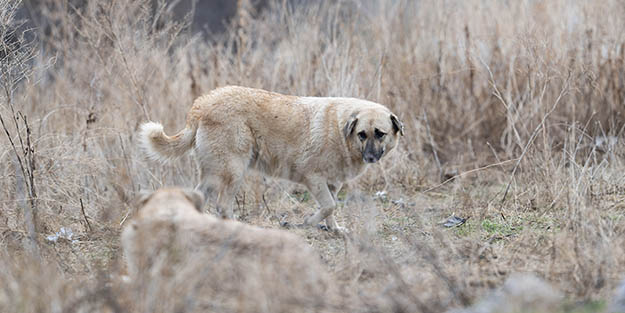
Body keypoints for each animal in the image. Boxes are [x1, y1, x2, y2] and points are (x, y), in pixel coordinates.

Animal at [138, 84, 402, 229]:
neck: (341, 131)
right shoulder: (314, 179)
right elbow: (329, 206)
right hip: (233, 170)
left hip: (215, 174)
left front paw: (334, 229)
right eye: (362, 134)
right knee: (223, 204)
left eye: (380, 134)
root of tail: (201, 105)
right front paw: (309, 223)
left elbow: (331, 209)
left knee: (201, 197)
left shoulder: (333, 184)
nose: (371, 157)